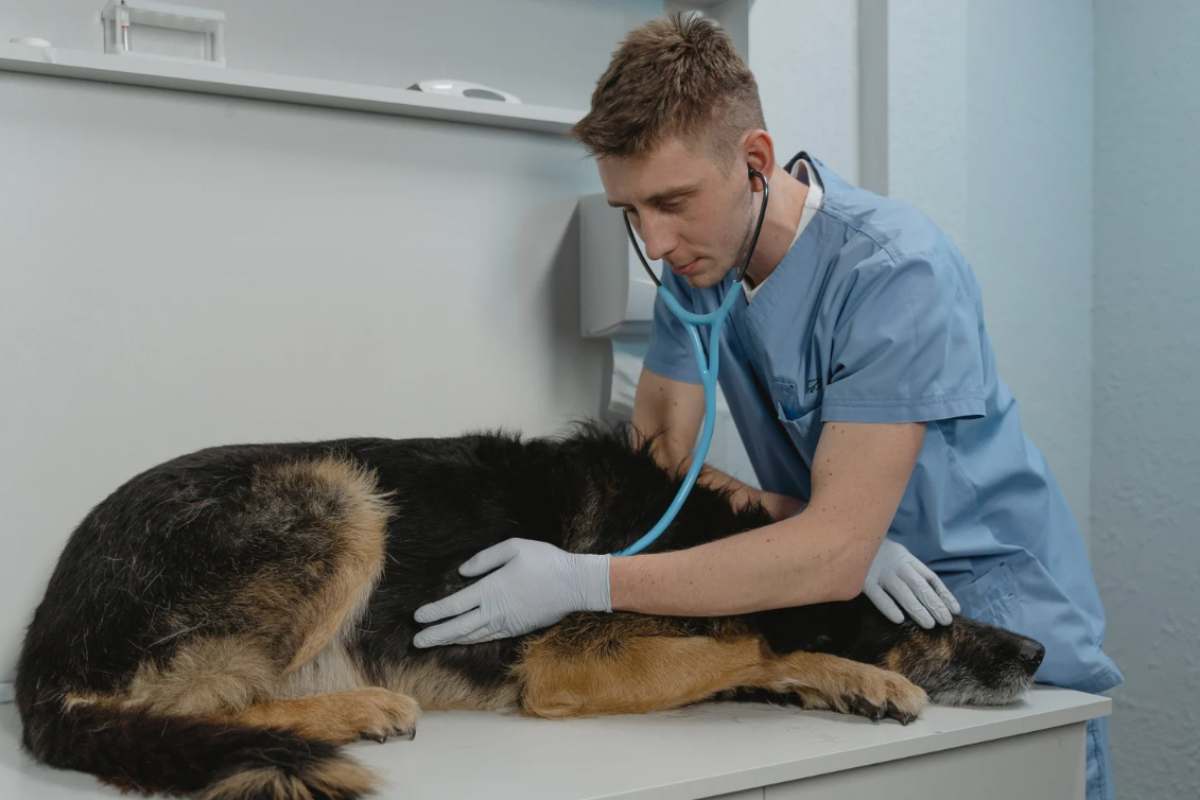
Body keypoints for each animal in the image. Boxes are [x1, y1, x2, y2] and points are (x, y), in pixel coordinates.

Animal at [18, 422, 1046, 796]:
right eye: (928, 618)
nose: (1036, 656)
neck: (698, 541)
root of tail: (40, 653)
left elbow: (754, 649)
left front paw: (849, 681)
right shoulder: (567, 665)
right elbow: (749, 637)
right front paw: (857, 671)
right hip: (339, 493)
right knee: (194, 701)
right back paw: (354, 709)